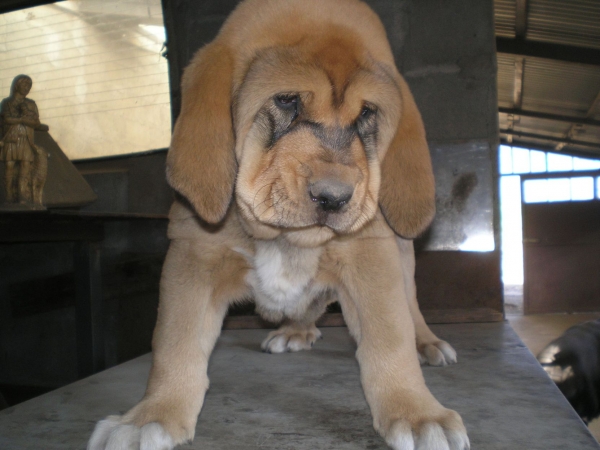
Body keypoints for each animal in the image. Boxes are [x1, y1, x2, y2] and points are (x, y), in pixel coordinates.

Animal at [86, 0, 466, 448]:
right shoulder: (193, 259)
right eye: (286, 100)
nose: (334, 197)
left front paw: (418, 412)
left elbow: (391, 339)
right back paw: (295, 330)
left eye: (367, 113)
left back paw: (426, 342)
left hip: (403, 254)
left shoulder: (372, 259)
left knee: (411, 306)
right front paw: (153, 415)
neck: (288, 239)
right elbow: (175, 344)